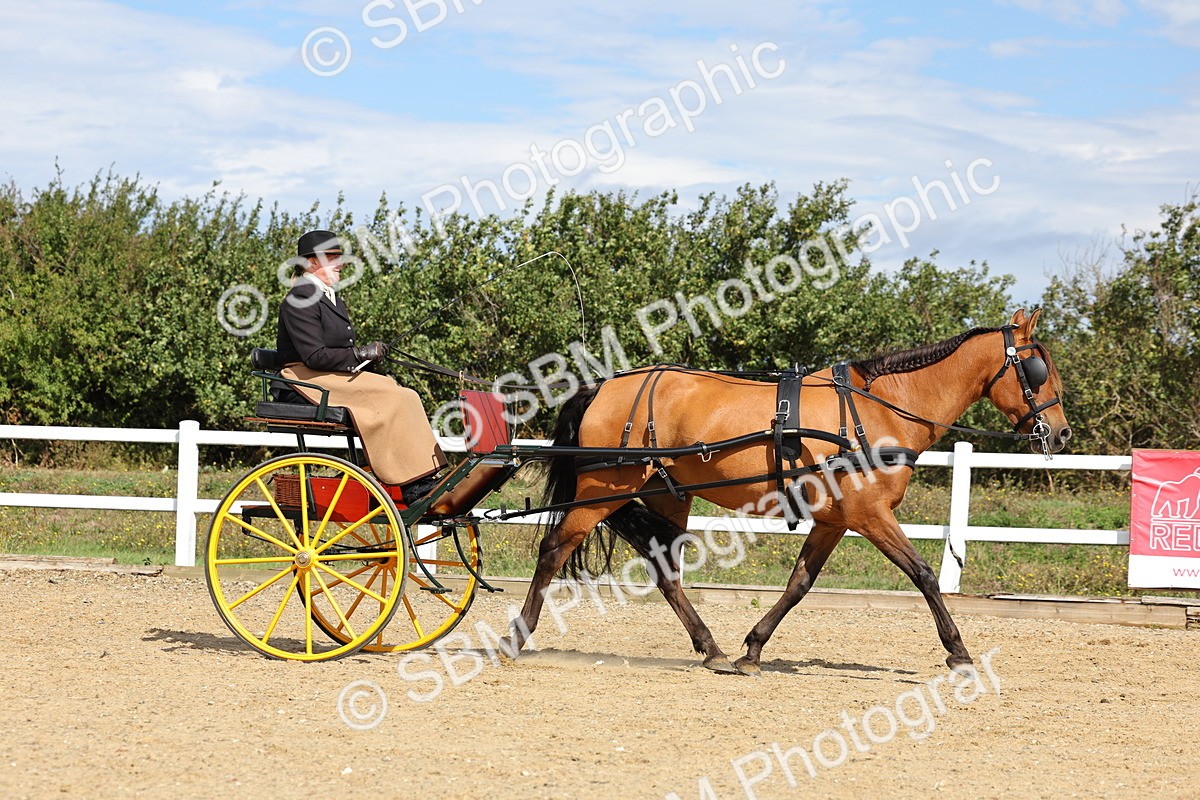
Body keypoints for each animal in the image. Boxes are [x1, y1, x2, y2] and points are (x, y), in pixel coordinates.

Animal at [503, 309, 1070, 675]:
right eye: (1038, 369)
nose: (1061, 434)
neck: (879, 409)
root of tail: (600, 386)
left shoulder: (835, 520)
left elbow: (800, 583)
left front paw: (753, 648)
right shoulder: (870, 515)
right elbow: (924, 574)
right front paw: (958, 651)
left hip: (668, 494)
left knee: (664, 570)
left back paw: (712, 649)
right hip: (605, 489)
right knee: (553, 550)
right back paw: (516, 635)